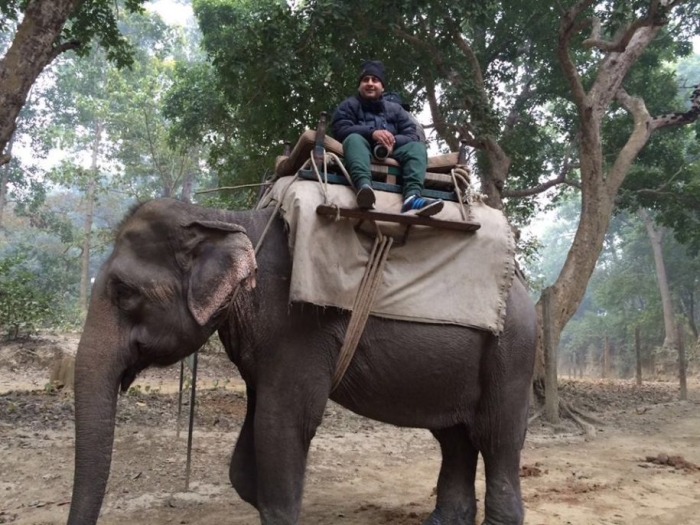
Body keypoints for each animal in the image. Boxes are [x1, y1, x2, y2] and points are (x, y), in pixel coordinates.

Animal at [67, 197, 537, 525]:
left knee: (496, 436)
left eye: (124, 292)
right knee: (454, 437)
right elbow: (250, 452)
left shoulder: (298, 327)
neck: (222, 217)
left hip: (511, 351)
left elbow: (285, 422)